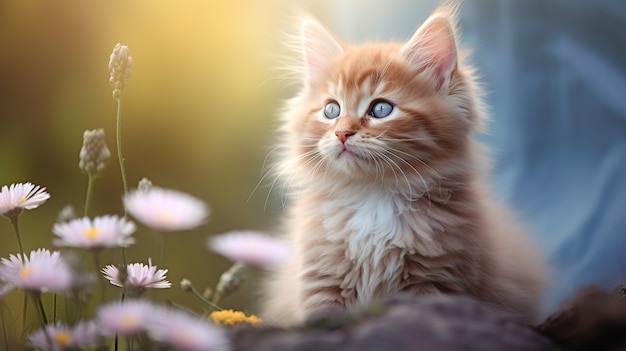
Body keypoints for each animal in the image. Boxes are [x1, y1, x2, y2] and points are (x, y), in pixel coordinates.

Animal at [260, 4, 544, 328]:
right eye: (332, 110)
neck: (372, 198)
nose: (342, 133)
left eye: (381, 109)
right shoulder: (322, 278)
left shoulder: (433, 280)